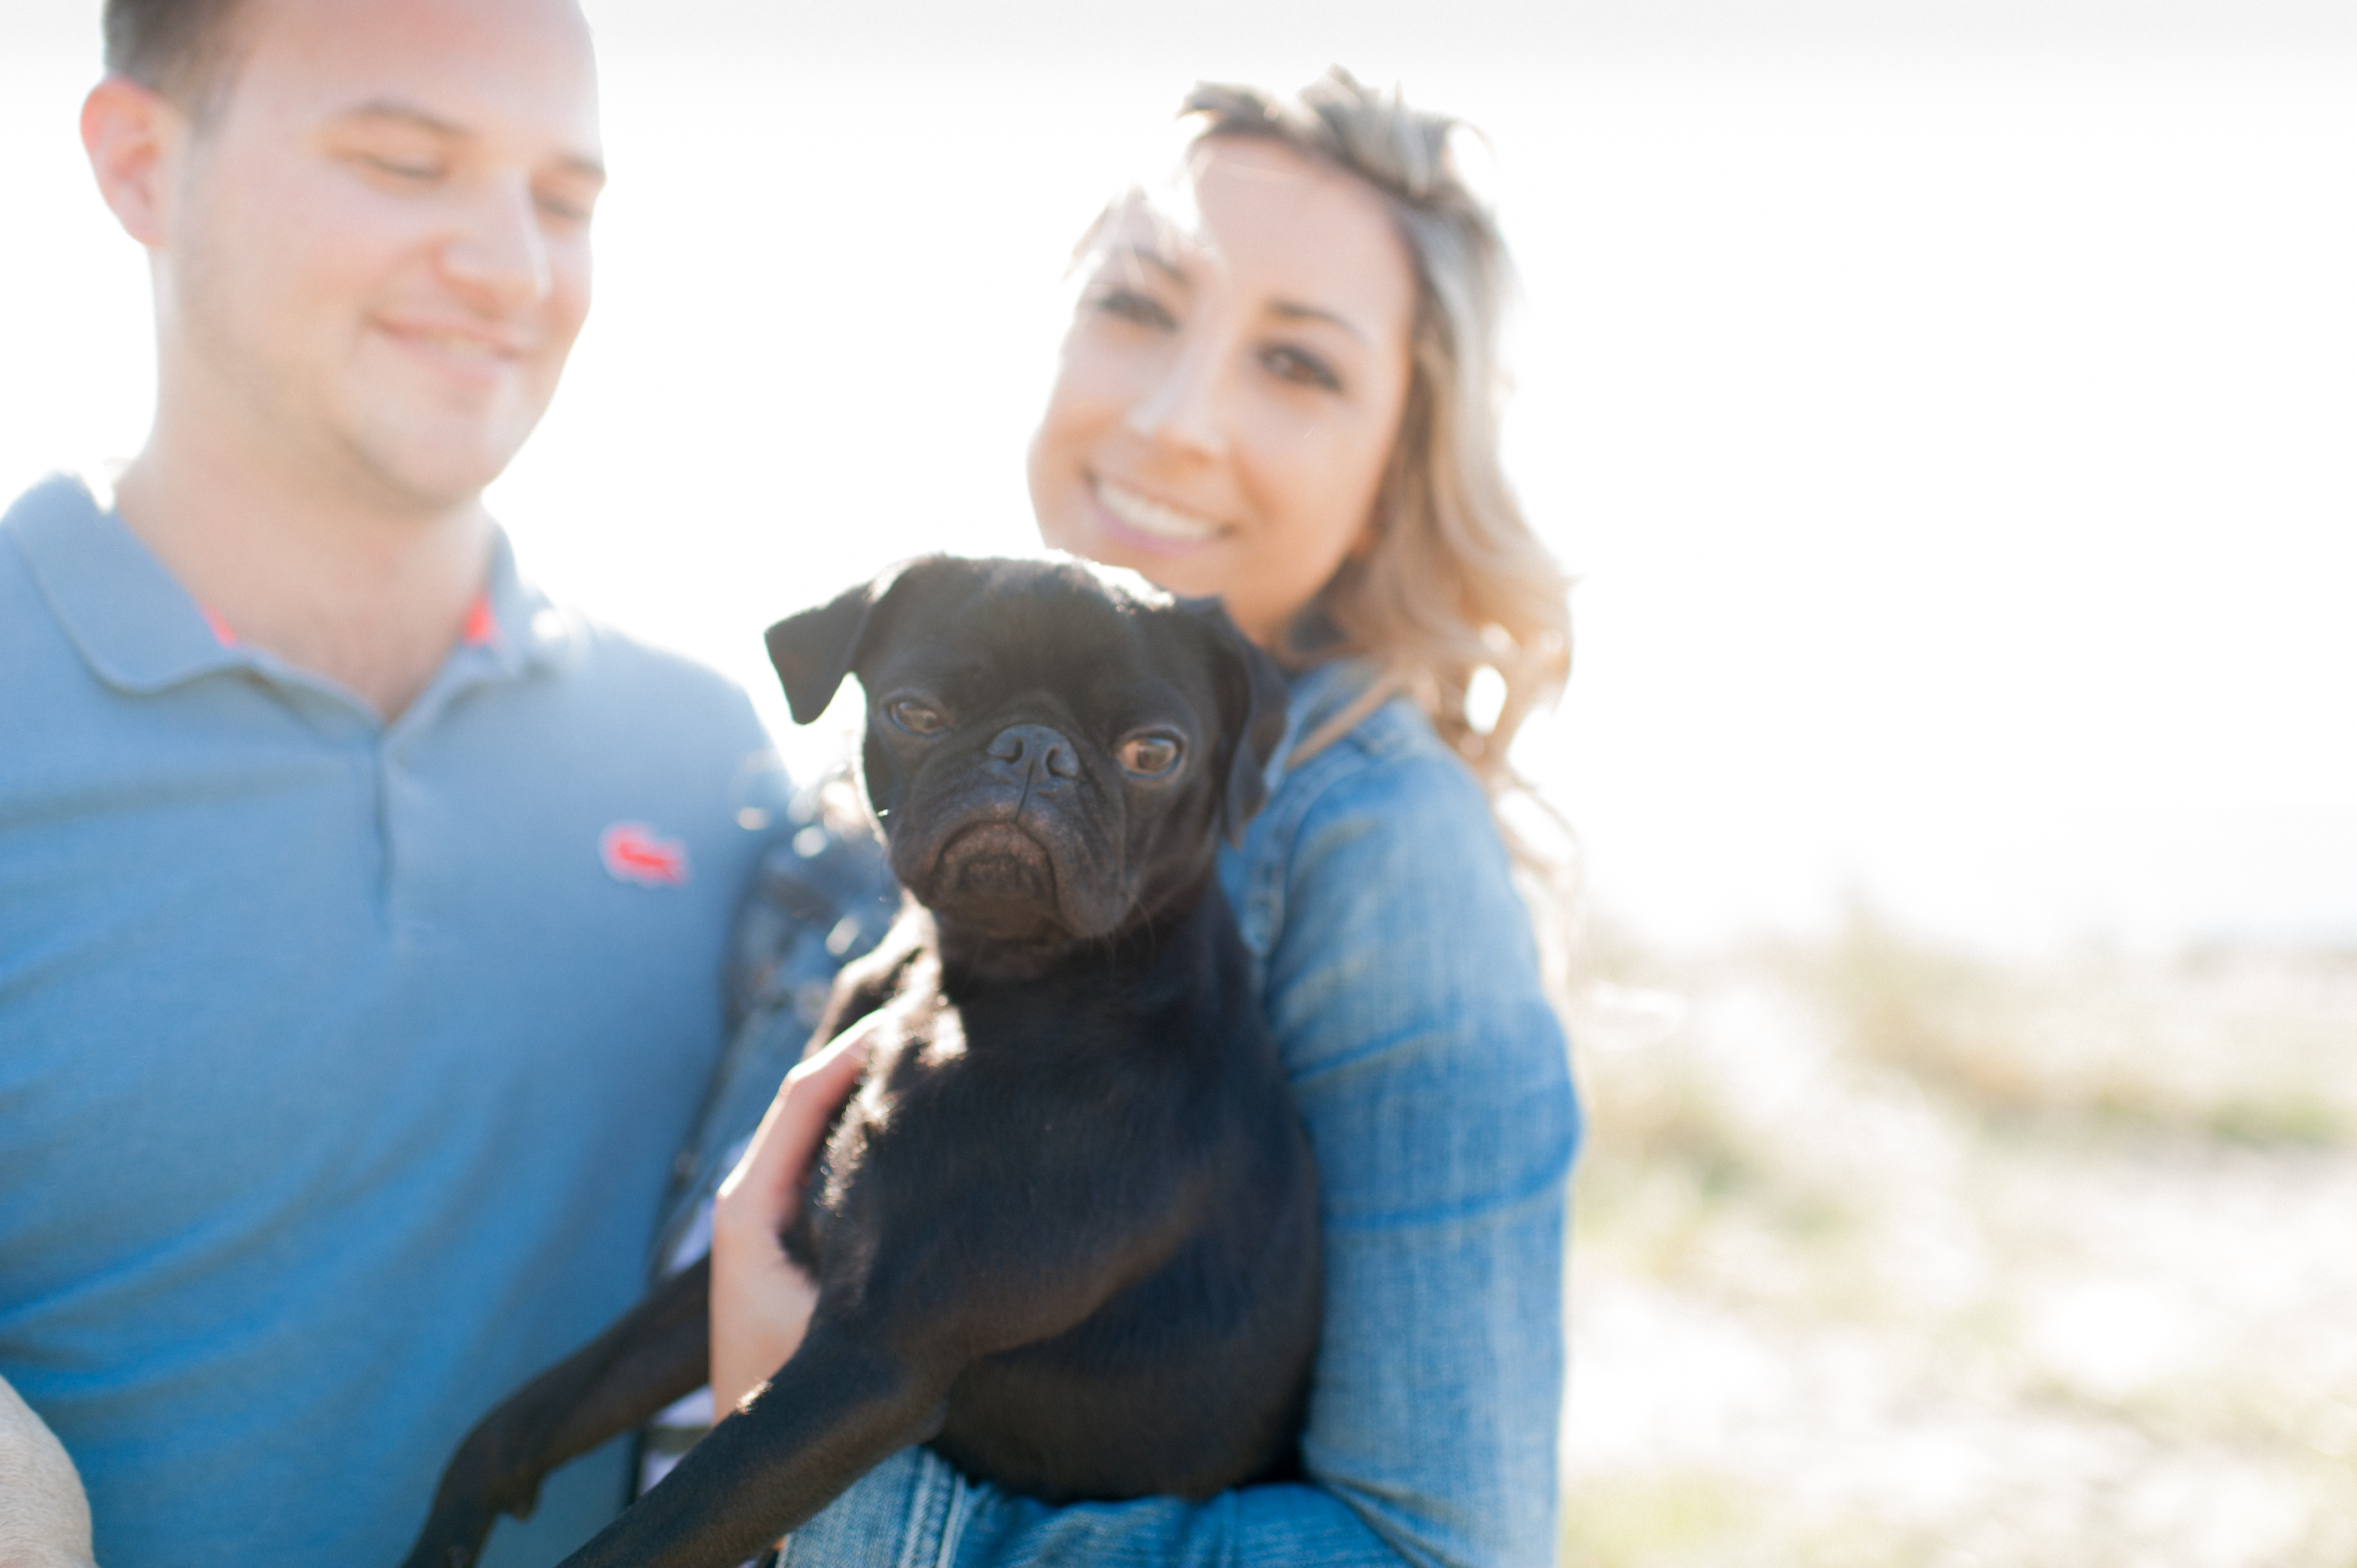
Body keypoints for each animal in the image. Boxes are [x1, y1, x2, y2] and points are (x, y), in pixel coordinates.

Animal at [405, 556, 1329, 1565]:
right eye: (914, 712)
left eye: (1154, 754)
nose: (1032, 750)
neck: (977, 977)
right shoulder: (763, 1254)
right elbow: (535, 1410)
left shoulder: (872, 1359)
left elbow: (653, 1531)